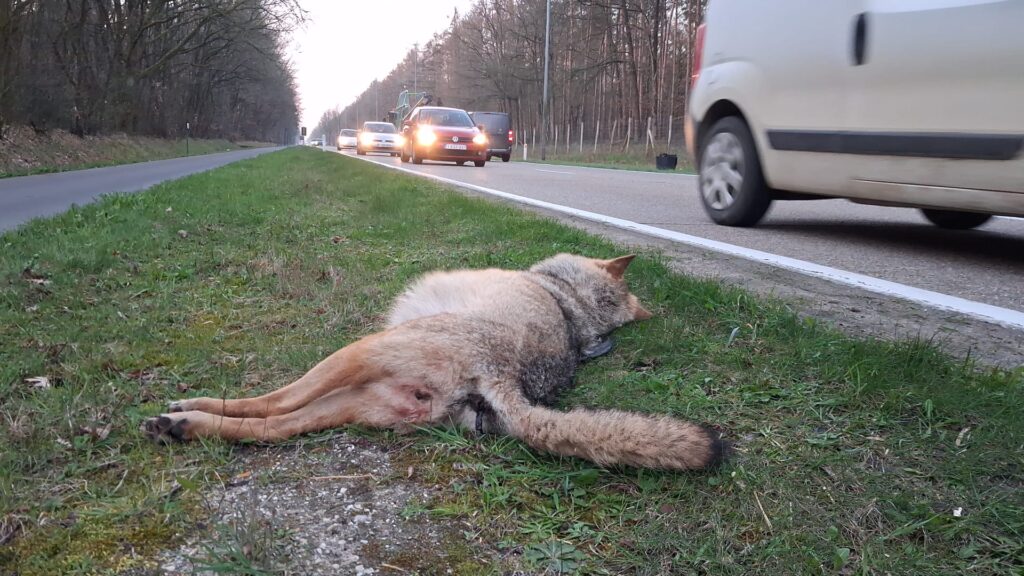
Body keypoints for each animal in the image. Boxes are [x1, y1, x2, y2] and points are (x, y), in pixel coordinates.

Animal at [142, 254, 725, 470]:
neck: (569, 303)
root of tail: (504, 378)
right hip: (356, 400)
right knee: (270, 429)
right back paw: (181, 427)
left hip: (355, 354)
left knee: (269, 403)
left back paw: (185, 413)